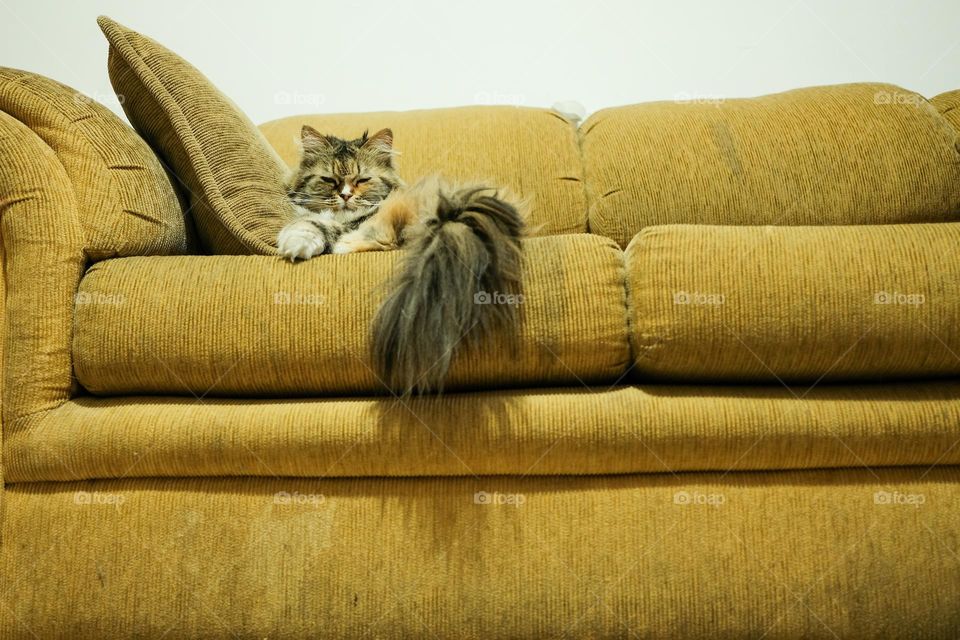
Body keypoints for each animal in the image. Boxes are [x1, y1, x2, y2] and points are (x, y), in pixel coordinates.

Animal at [276, 125, 524, 396]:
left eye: (362, 180)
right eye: (329, 180)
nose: (345, 196)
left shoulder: (354, 222)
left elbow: (315, 224)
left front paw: (296, 242)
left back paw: (344, 246)